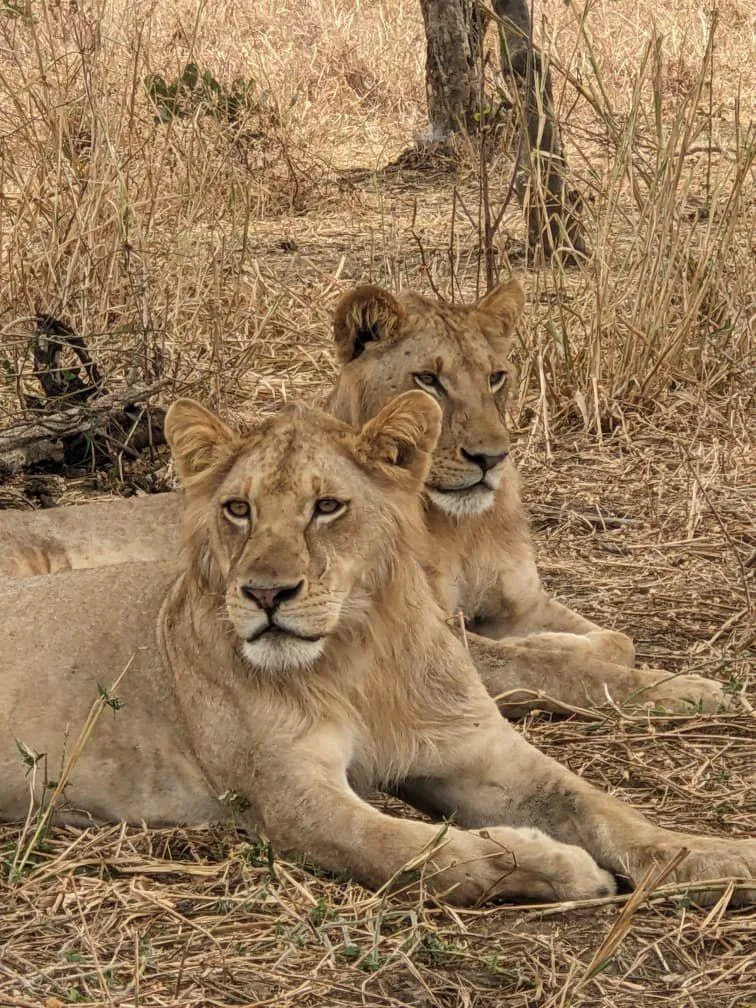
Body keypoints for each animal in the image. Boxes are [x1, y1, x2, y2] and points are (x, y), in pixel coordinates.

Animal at [0, 279, 730, 715]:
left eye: (497, 377)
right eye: (429, 379)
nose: (491, 458)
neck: (459, 526)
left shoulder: (521, 601)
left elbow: (613, 639)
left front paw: (589, 646)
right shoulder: (424, 630)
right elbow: (562, 669)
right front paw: (690, 689)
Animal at [1, 394, 753, 906]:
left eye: (327, 507)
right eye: (238, 509)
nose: (265, 593)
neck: (356, 655)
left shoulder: (477, 750)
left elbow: (603, 808)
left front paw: (720, 858)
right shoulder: (291, 796)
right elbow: (420, 853)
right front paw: (556, 866)